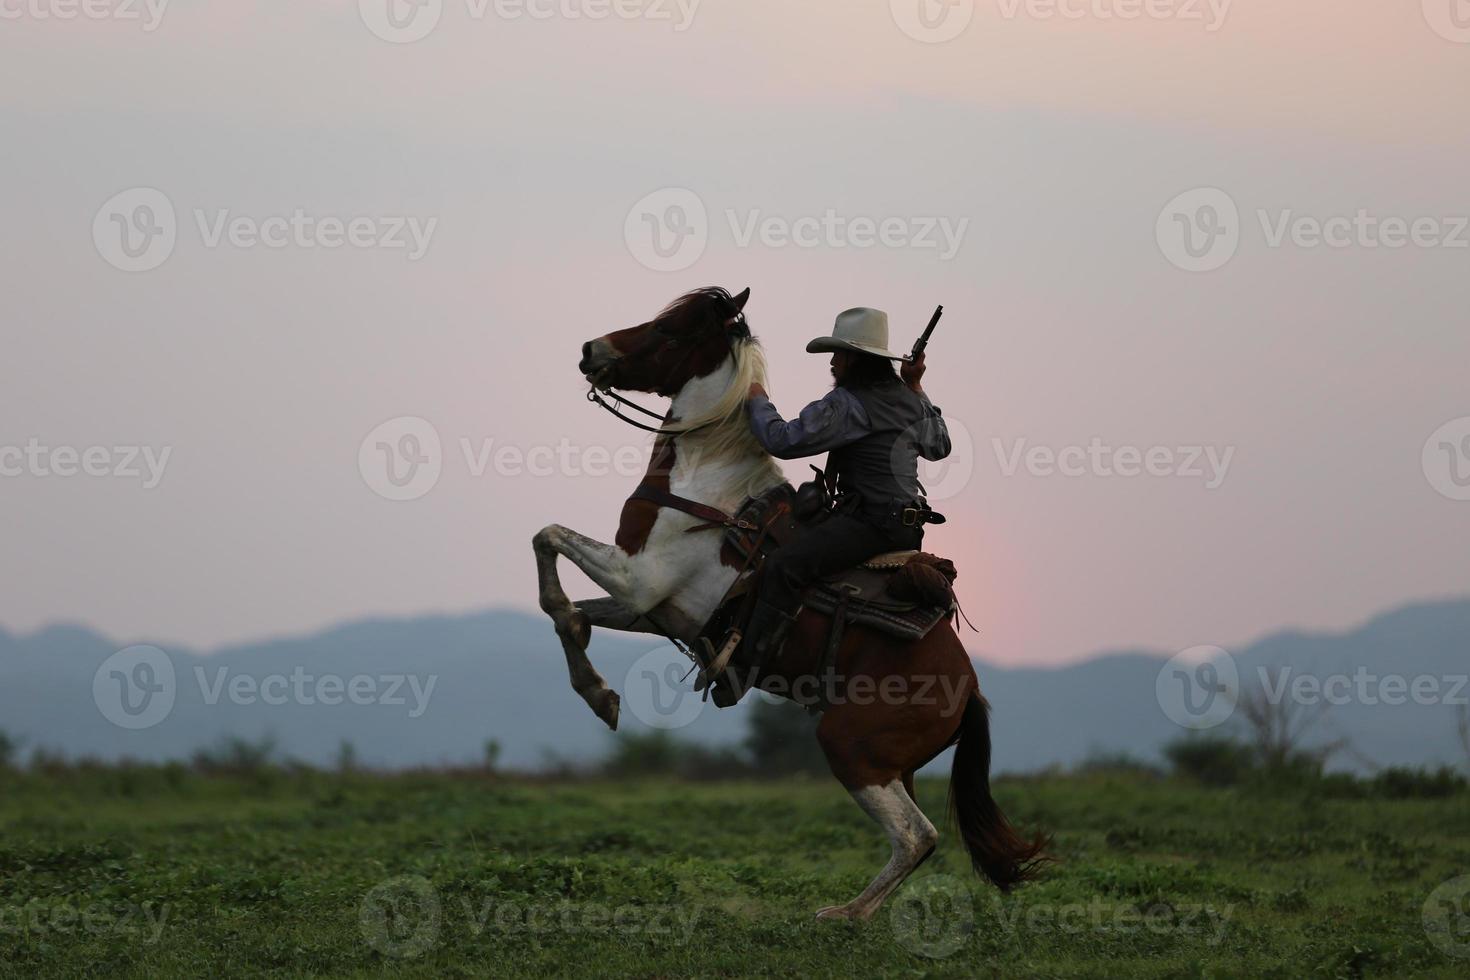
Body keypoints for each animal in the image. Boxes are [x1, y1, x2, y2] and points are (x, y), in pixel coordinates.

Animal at [535, 287, 1052, 922]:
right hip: (894, 766)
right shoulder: (651, 606)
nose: (592, 350)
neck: (706, 482)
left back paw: (845, 916)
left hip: (851, 747)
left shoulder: (638, 578)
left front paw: (594, 687)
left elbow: (547, 540)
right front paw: (598, 691)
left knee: (917, 835)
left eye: (670, 330)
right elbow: (574, 614)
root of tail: (969, 689)